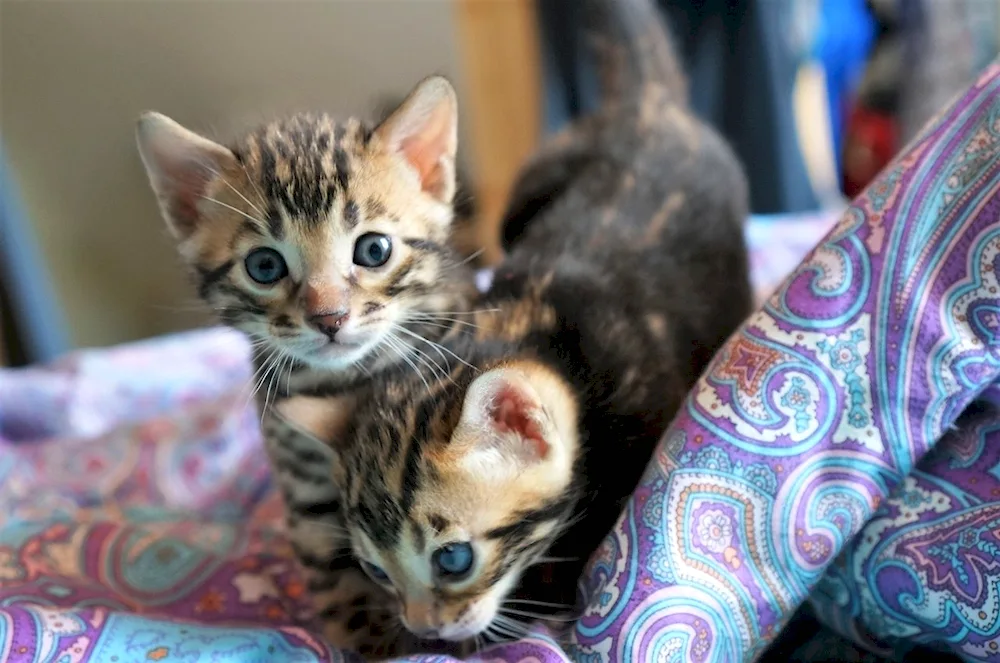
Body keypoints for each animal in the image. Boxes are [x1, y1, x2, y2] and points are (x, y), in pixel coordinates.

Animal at [136, 76, 476, 652]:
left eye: (374, 249)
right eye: (264, 266)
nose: (329, 317)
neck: (345, 380)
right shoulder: (309, 500)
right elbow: (342, 586)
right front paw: (377, 646)